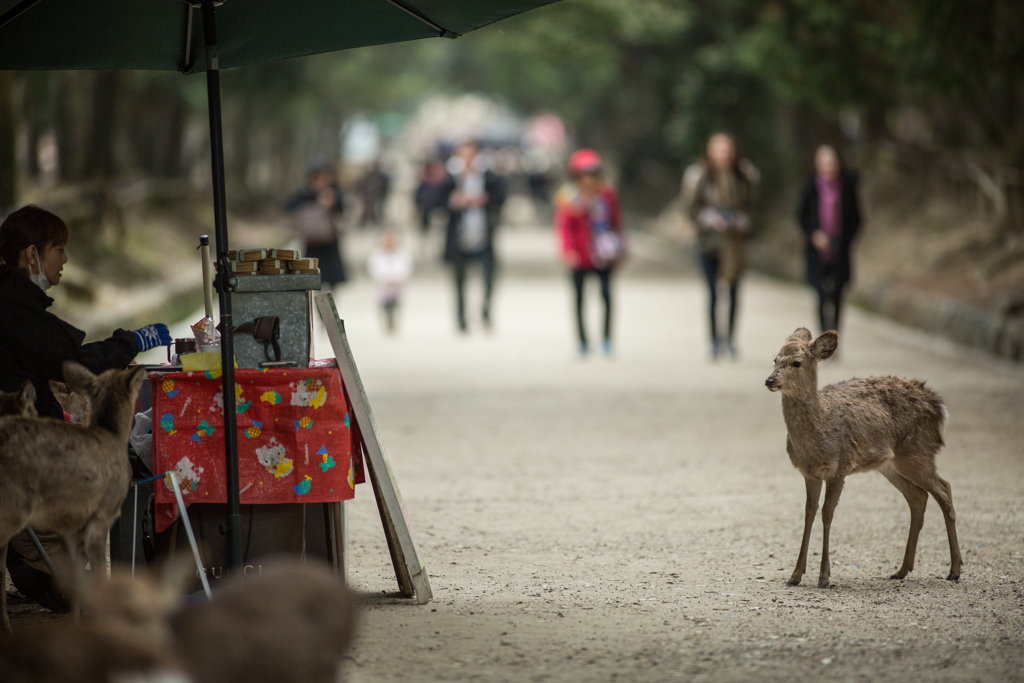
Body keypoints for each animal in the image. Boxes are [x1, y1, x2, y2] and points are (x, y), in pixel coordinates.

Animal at [0, 362, 146, 630]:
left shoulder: (71, 525)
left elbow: (76, 572)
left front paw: (78, 620)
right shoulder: (102, 515)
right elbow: (98, 570)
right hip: (13, 509)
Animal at [765, 327, 962, 585]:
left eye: (796, 363)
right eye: (775, 360)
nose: (769, 380)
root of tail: (938, 406)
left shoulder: (840, 467)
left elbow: (827, 513)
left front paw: (824, 577)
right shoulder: (809, 473)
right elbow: (809, 513)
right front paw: (795, 575)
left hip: (917, 451)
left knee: (944, 488)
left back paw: (955, 570)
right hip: (891, 464)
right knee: (918, 496)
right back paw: (901, 570)